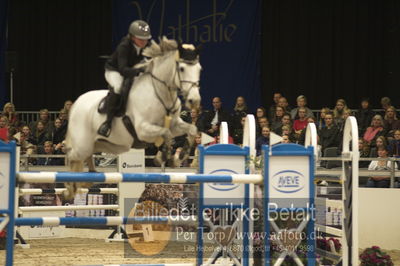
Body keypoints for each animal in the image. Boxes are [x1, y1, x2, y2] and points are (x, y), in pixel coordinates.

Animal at [66, 38, 203, 200]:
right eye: (181, 68)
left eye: (200, 69)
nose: (194, 101)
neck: (160, 93)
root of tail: (76, 103)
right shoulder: (143, 130)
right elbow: (166, 134)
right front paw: (164, 157)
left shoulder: (175, 124)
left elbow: (191, 129)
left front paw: (178, 158)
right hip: (83, 145)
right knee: (71, 155)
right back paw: (70, 187)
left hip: (109, 145)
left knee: (88, 154)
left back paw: (90, 177)